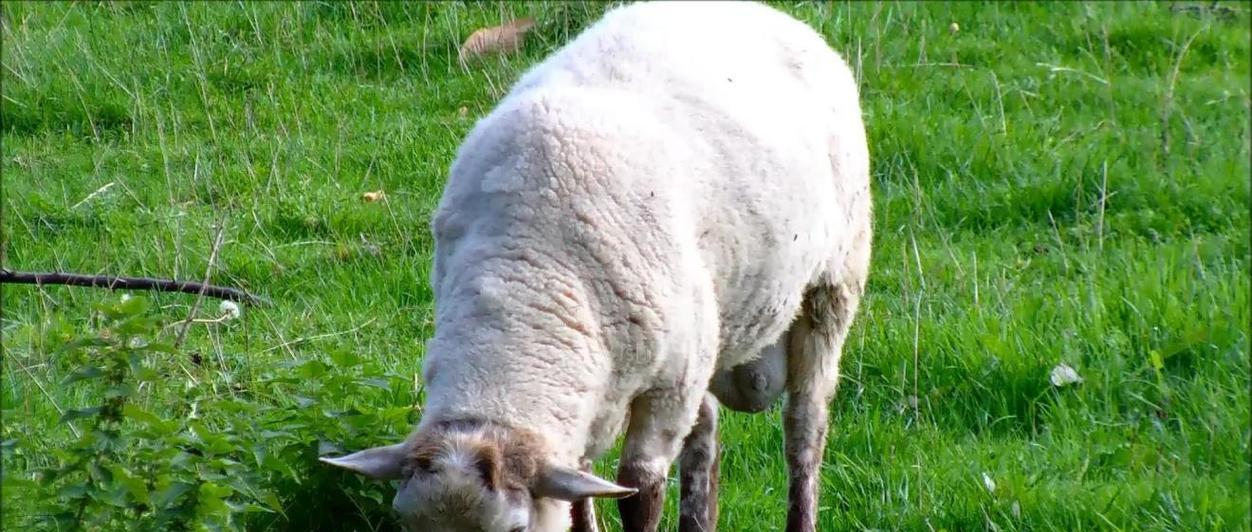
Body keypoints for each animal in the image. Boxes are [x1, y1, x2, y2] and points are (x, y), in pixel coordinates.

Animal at [318, 2, 876, 528]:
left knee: (804, 429)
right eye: (407, 526)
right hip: (712, 328)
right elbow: (581, 497)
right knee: (707, 433)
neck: (527, 276)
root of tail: (761, 13)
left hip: (832, 285)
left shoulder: (668, 389)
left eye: (515, 530)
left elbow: (640, 489)